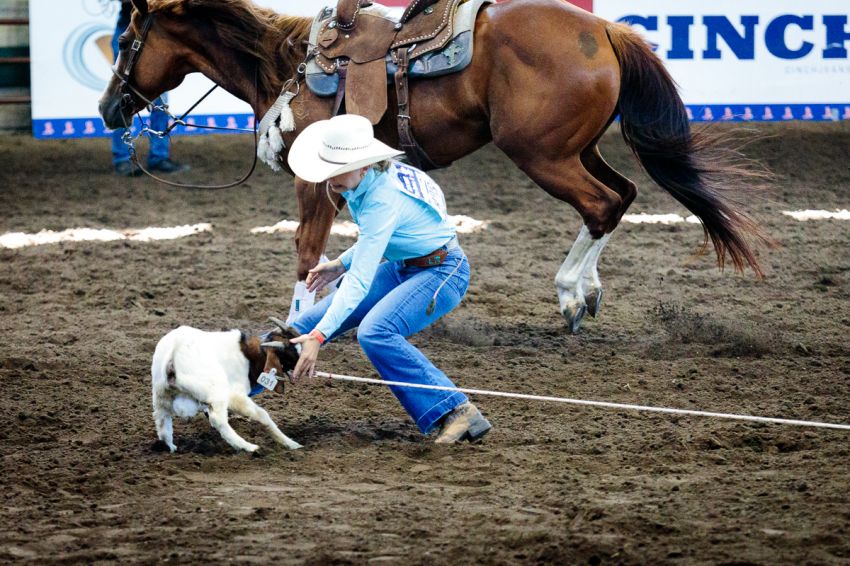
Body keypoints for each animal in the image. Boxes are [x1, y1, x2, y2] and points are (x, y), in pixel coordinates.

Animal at [151, 316, 302, 453]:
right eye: (290, 356)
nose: (303, 369)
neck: (248, 355)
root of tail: (173, 355)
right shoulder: (236, 396)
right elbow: (262, 415)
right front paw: (291, 443)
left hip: (161, 395)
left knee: (161, 420)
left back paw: (170, 447)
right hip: (217, 392)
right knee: (218, 419)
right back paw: (247, 447)